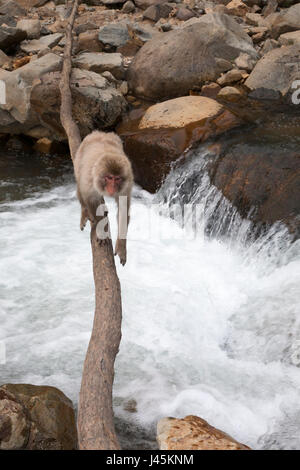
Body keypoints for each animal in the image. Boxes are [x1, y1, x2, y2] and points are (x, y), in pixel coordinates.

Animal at [74, 130, 134, 266]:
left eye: (117, 179)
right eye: (109, 178)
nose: (112, 188)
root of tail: (99, 133)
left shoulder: (126, 184)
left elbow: (123, 207)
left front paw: (122, 245)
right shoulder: (89, 179)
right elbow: (90, 198)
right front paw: (101, 231)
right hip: (78, 159)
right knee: (80, 187)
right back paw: (84, 211)